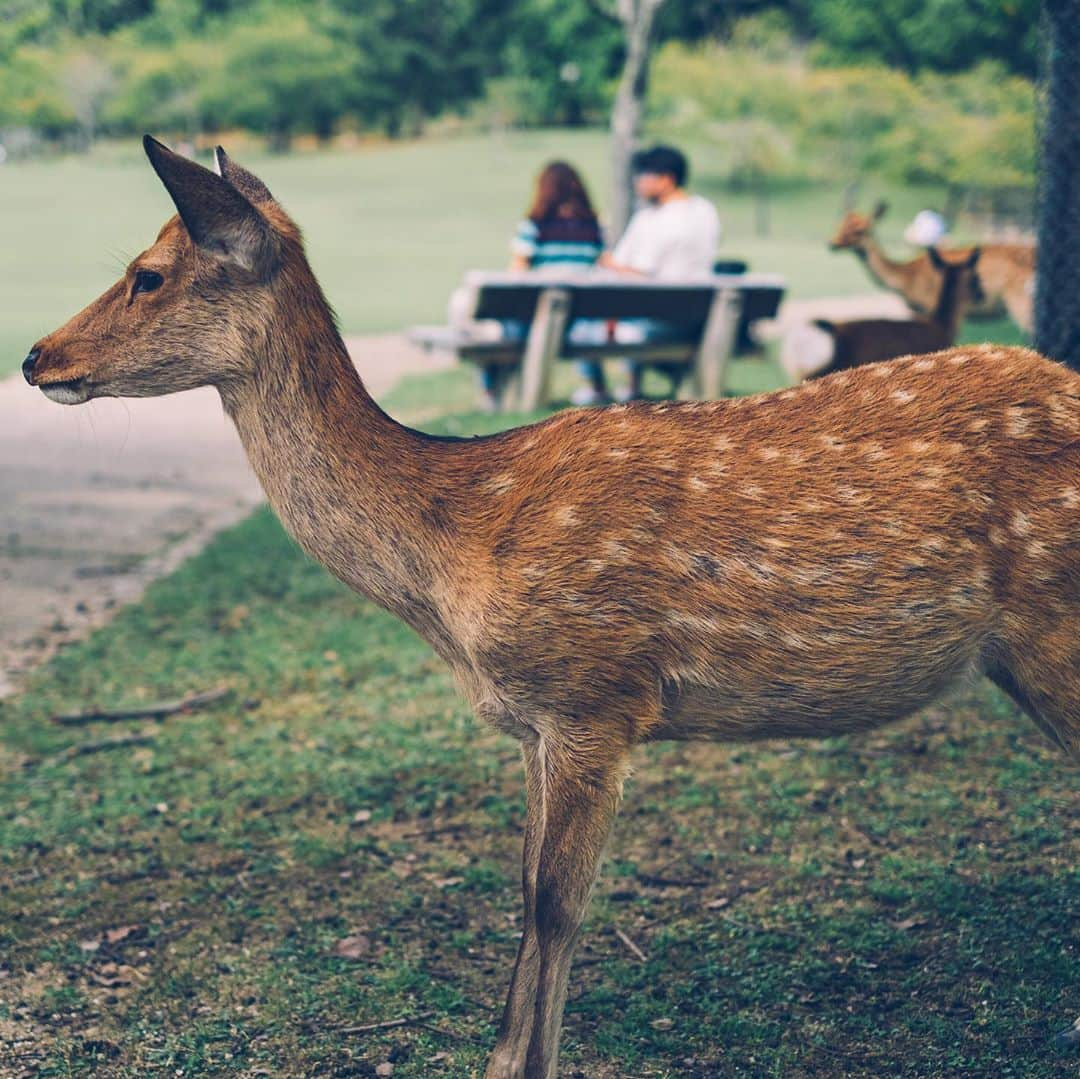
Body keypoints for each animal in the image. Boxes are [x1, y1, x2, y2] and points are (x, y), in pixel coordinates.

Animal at [825, 200, 1036, 330]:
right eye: (840, 225)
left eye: (860, 230)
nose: (832, 244)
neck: (906, 279)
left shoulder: (928, 305)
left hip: (1021, 302)